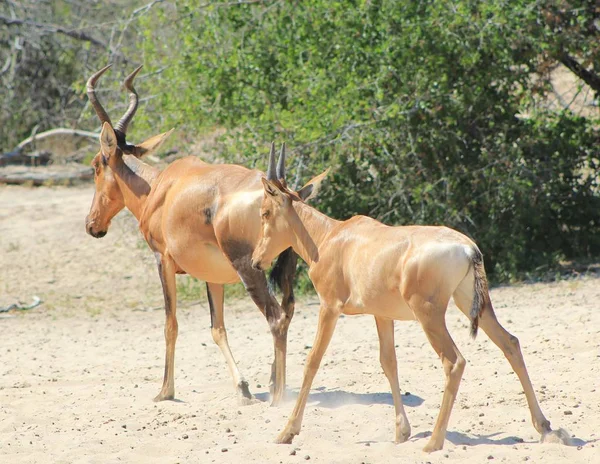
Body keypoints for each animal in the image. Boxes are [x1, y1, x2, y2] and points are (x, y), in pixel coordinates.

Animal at [83, 65, 298, 406]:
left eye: (96, 165)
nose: (93, 225)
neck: (162, 188)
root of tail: (280, 191)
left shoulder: (163, 261)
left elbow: (170, 324)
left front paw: (165, 391)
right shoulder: (213, 273)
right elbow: (217, 328)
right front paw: (244, 389)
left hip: (249, 268)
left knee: (275, 317)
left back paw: (278, 396)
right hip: (287, 265)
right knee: (288, 311)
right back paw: (277, 382)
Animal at [251, 162, 568, 450]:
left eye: (265, 212)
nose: (256, 261)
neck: (330, 237)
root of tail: (468, 249)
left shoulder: (329, 307)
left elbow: (313, 361)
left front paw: (286, 432)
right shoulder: (381, 315)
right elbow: (388, 362)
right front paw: (402, 432)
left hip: (429, 315)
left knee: (454, 361)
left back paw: (434, 442)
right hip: (472, 303)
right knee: (510, 343)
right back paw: (546, 428)